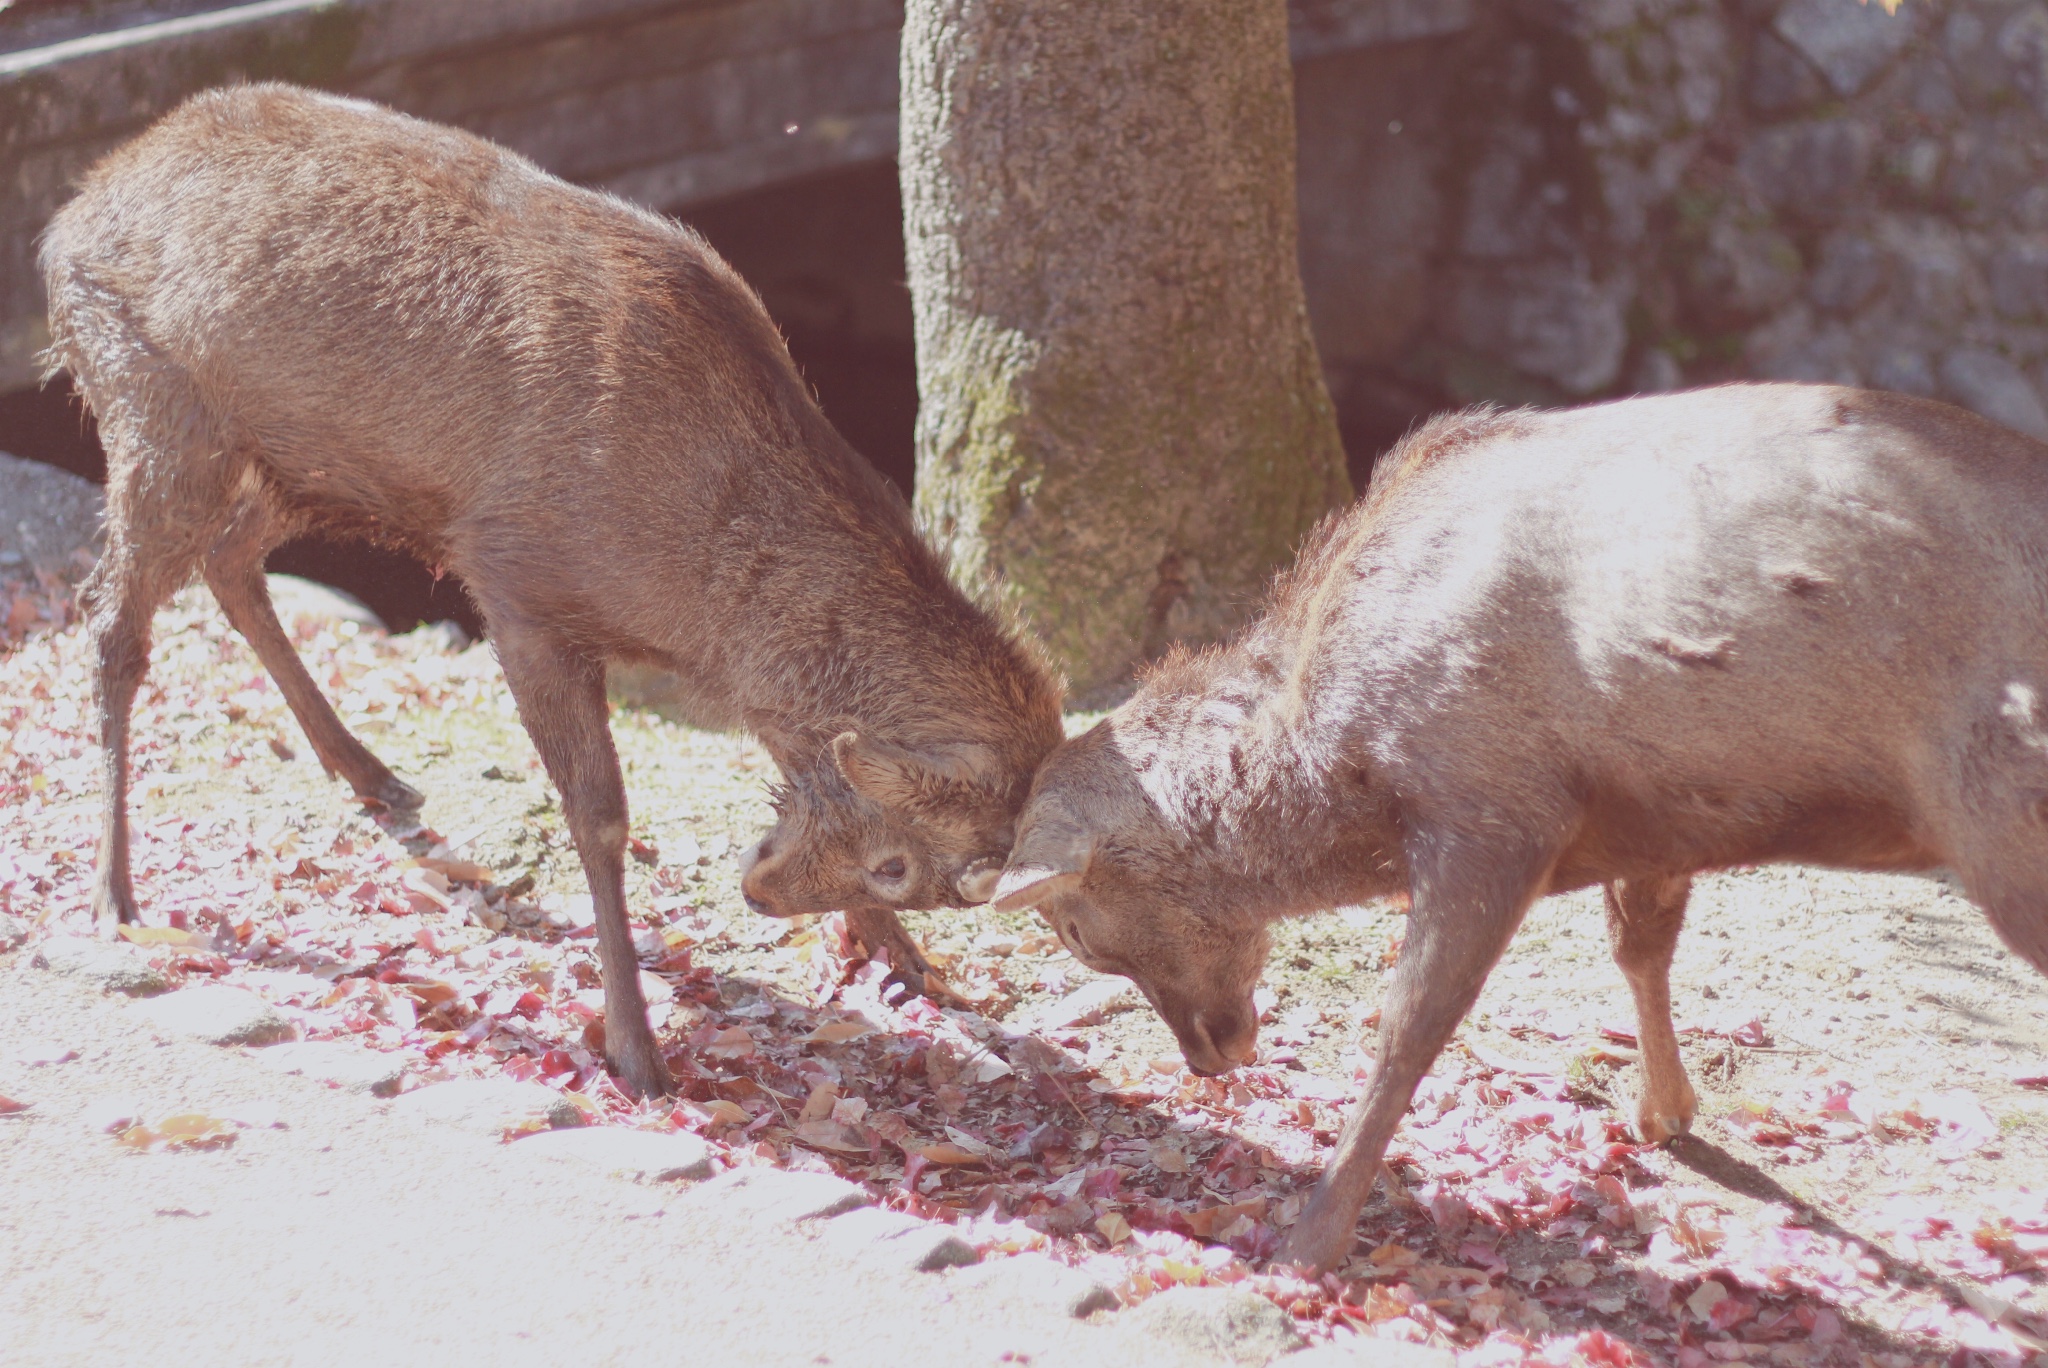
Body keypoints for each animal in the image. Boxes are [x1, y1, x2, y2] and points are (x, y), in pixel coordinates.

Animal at [991, 382, 2048, 1269]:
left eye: (1077, 932)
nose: (1210, 1054)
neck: (1338, 750)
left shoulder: (1491, 804)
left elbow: (1410, 1024)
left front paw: (1312, 1237)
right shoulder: (1655, 812)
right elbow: (1638, 945)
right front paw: (1663, 1113)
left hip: (2007, 813)